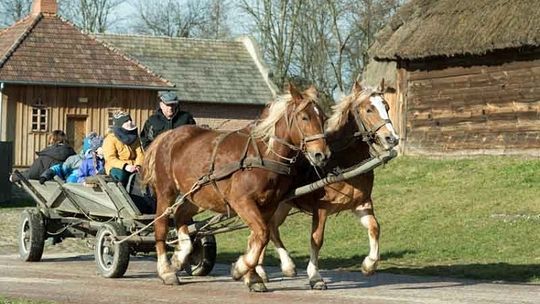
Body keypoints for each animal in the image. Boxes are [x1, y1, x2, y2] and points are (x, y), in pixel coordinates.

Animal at [141, 84, 332, 290]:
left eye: (323, 118)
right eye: (304, 117)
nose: (322, 155)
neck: (263, 155)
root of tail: (168, 135)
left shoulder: (269, 205)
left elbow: (257, 238)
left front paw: (253, 277)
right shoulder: (241, 201)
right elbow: (262, 234)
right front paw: (241, 269)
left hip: (198, 195)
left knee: (180, 216)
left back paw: (180, 255)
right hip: (166, 191)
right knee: (161, 226)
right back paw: (166, 271)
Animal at [258, 79, 400, 290]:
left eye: (387, 107)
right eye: (369, 109)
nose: (392, 138)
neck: (342, 159)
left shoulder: (361, 204)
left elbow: (375, 227)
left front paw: (369, 265)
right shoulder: (321, 209)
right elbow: (316, 239)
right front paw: (315, 276)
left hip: (283, 205)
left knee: (271, 228)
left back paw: (279, 267)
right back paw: (265, 269)